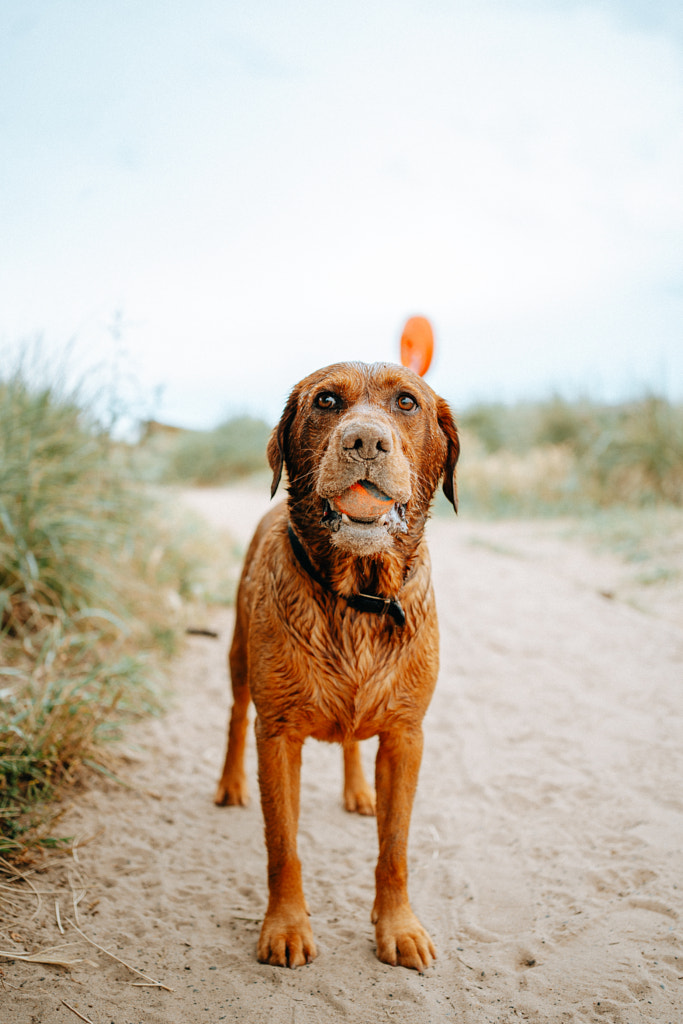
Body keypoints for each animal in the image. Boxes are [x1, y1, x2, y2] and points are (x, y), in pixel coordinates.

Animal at [214, 360, 458, 966]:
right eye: (326, 400)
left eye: (407, 402)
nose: (365, 440)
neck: (359, 597)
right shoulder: (277, 736)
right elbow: (283, 844)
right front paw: (285, 926)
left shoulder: (406, 737)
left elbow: (395, 846)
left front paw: (398, 926)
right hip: (237, 655)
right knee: (235, 713)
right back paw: (230, 783)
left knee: (352, 743)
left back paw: (357, 792)